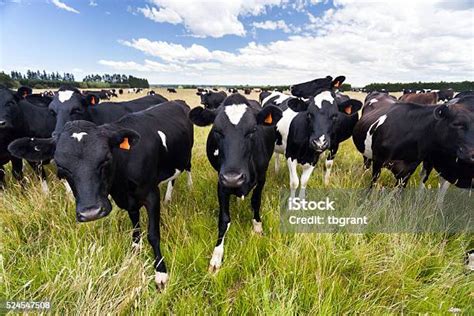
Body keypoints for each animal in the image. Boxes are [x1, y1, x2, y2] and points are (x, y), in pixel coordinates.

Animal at [7, 100, 193, 290]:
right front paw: (135, 250)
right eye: (61, 167)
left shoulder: (151, 194)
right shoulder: (128, 200)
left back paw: (183, 189)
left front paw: (161, 274)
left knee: (185, 169)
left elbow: (153, 234)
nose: (91, 212)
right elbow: (135, 225)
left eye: (106, 158)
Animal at [188, 93, 282, 272]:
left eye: (252, 130)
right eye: (217, 131)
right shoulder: (222, 182)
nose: (233, 178)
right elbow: (224, 220)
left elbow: (256, 202)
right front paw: (216, 257)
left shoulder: (262, 177)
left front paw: (257, 228)